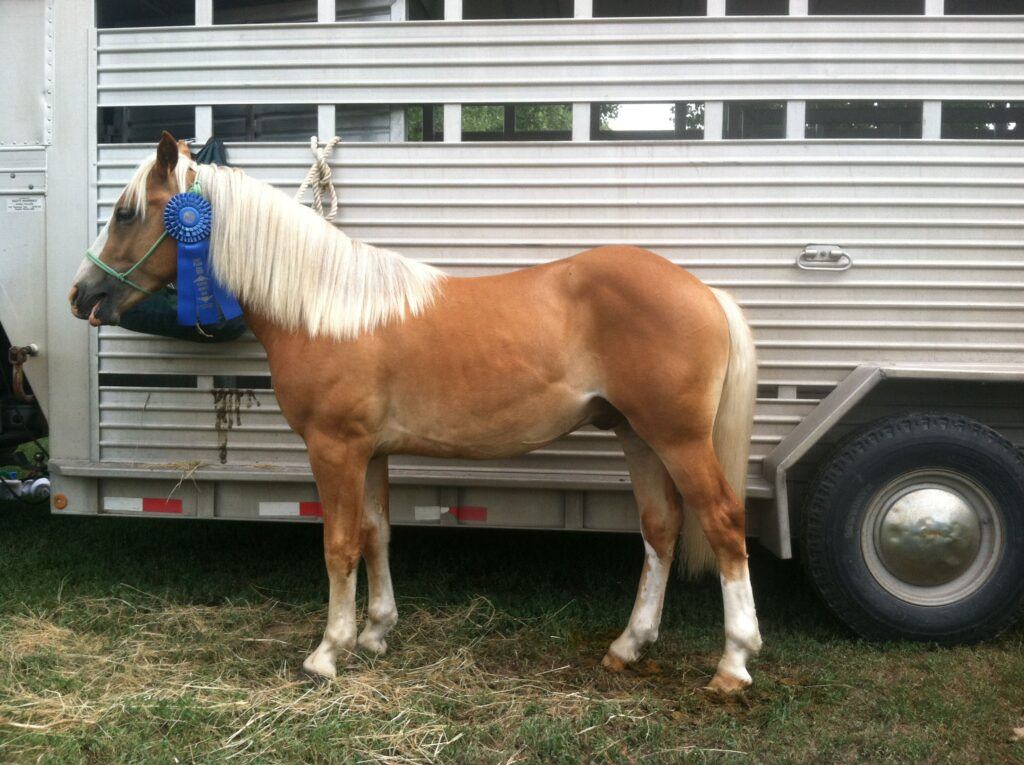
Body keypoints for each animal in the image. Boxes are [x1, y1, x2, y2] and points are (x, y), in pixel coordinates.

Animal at [70, 133, 761, 692]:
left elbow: (340, 542)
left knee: (724, 524)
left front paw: (328, 651)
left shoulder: (335, 448)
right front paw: (376, 632)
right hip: (638, 437)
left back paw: (733, 663)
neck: (324, 307)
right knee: (660, 530)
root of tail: (704, 291)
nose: (83, 294)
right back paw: (628, 645)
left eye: (126, 212)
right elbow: (377, 533)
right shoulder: (371, 451)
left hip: (678, 439)